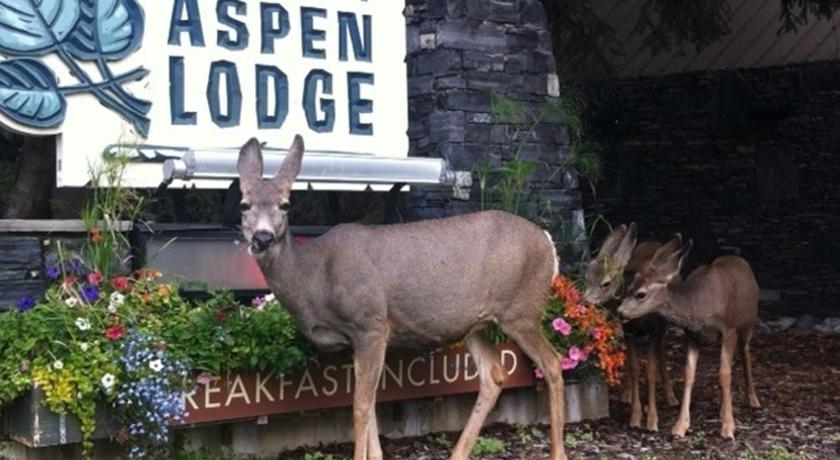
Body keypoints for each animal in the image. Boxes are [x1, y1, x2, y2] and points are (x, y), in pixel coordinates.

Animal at [235, 136, 572, 460]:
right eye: (244, 204)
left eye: (285, 204)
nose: (262, 237)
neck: (314, 278)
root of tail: (548, 242)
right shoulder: (356, 339)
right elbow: (370, 403)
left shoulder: (370, 323)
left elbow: (360, 406)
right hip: (475, 324)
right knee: (494, 374)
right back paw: (457, 454)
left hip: (522, 309)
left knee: (552, 363)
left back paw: (557, 453)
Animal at [588, 225, 680, 434]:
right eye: (586, 276)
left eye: (606, 283)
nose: (585, 300)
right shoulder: (629, 330)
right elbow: (634, 366)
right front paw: (635, 417)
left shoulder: (655, 329)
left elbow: (650, 370)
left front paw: (652, 420)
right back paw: (627, 395)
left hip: (665, 326)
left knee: (662, 351)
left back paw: (671, 397)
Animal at [616, 239, 760, 440]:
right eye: (628, 288)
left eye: (641, 294)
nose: (620, 311)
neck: (700, 305)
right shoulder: (691, 335)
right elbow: (689, 373)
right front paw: (680, 426)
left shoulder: (728, 330)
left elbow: (724, 374)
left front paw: (728, 427)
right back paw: (723, 409)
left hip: (748, 322)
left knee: (745, 352)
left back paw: (753, 399)